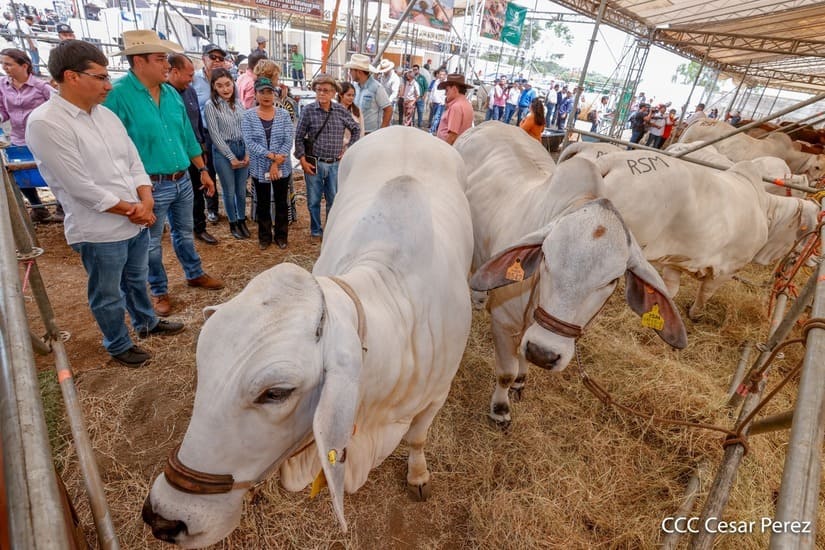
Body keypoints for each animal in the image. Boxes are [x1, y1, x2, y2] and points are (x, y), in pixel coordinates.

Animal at [142, 128, 474, 548]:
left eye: (276, 393)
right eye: (203, 366)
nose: (164, 518)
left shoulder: (436, 395)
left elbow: (417, 439)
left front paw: (417, 475)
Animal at [454, 123, 684, 430]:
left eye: (612, 281)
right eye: (546, 259)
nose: (544, 353)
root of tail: (486, 124)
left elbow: (521, 363)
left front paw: (522, 379)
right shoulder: (503, 321)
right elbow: (505, 372)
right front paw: (500, 409)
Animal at [560, 144, 816, 322]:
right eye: (813, 230)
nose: (812, 260)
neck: (768, 213)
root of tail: (612, 160)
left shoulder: (678, 258)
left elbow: (670, 288)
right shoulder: (727, 269)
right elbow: (705, 294)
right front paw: (696, 315)